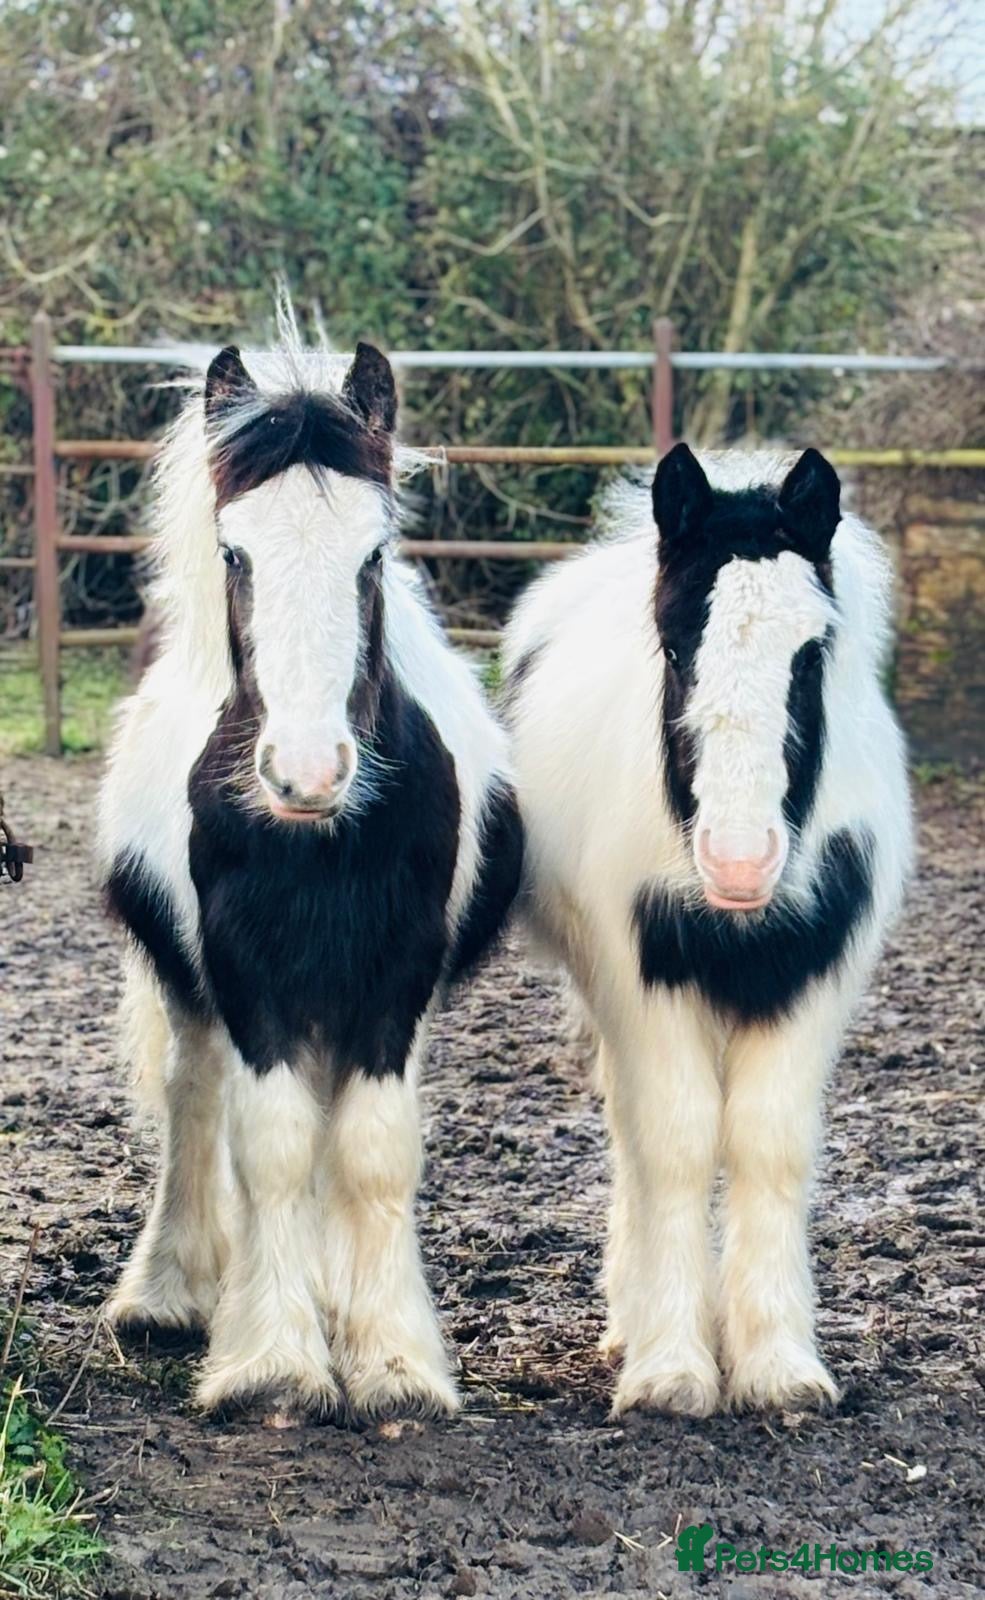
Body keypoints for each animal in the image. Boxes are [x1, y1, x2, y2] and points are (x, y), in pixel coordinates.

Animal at [99, 323, 522, 1418]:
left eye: (373, 553)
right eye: (234, 551)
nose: (306, 771)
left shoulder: (397, 976)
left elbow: (370, 1152)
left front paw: (393, 1363)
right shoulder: (246, 976)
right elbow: (273, 1146)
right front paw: (273, 1364)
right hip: (190, 987)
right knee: (194, 1101)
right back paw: (171, 1290)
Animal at [502, 443, 913, 1417]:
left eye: (811, 654)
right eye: (673, 643)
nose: (736, 860)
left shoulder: (814, 979)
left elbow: (767, 1143)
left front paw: (776, 1363)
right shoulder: (641, 981)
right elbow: (677, 1144)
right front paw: (671, 1368)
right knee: (632, 1130)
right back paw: (631, 1320)